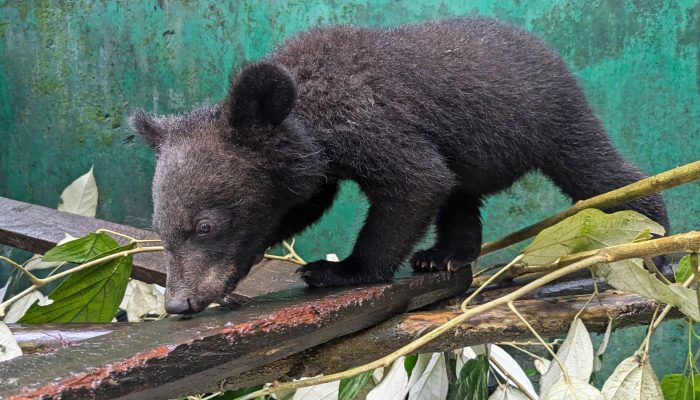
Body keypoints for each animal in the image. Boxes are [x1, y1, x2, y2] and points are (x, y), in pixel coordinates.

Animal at [130, 18, 668, 314]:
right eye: (161, 227)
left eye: (205, 225)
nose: (178, 303)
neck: (311, 110)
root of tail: (549, 51)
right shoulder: (316, 168)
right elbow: (301, 204)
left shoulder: (371, 121)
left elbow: (415, 182)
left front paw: (339, 270)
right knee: (460, 197)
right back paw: (443, 256)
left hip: (554, 119)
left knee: (600, 173)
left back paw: (654, 243)